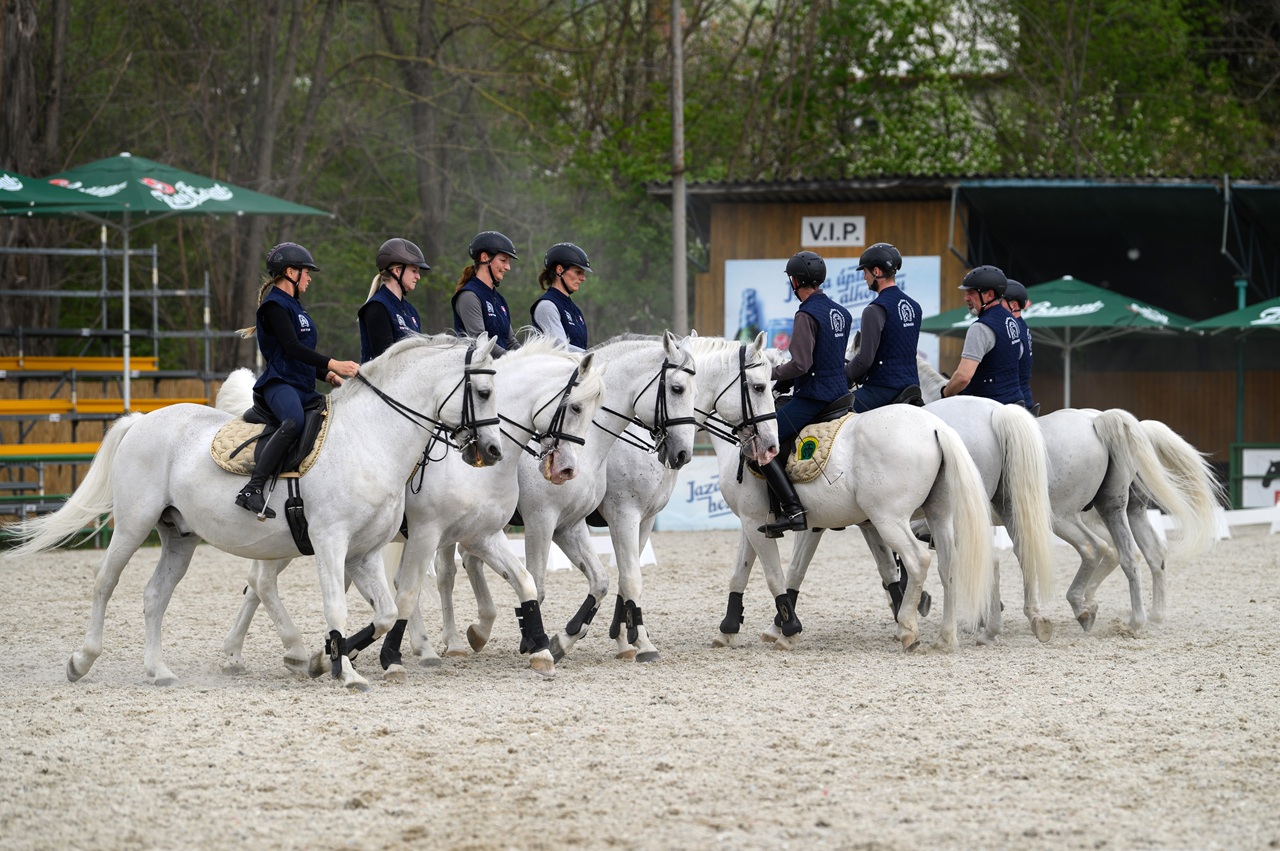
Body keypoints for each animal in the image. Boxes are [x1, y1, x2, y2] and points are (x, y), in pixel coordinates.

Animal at [7, 332, 501, 691]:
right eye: (483, 390)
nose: (492, 451)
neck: (371, 438)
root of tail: (142, 419)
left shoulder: (364, 552)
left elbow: (384, 612)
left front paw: (326, 658)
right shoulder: (330, 542)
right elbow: (336, 606)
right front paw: (344, 670)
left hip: (179, 537)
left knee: (155, 595)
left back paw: (159, 671)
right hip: (132, 525)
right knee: (105, 584)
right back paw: (81, 660)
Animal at [217, 337, 606, 675]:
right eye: (575, 407)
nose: (567, 469)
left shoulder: (484, 534)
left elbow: (527, 583)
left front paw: (539, 647)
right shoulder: (435, 532)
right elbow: (409, 592)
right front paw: (382, 655)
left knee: (259, 584)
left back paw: (240, 654)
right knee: (261, 581)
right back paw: (289, 651)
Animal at [430, 332, 706, 665]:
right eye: (677, 388)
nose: (683, 453)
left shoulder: (580, 523)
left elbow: (608, 581)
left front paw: (576, 639)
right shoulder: (565, 518)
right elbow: (542, 583)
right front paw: (535, 642)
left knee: (471, 560)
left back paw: (479, 631)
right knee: (446, 573)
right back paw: (454, 641)